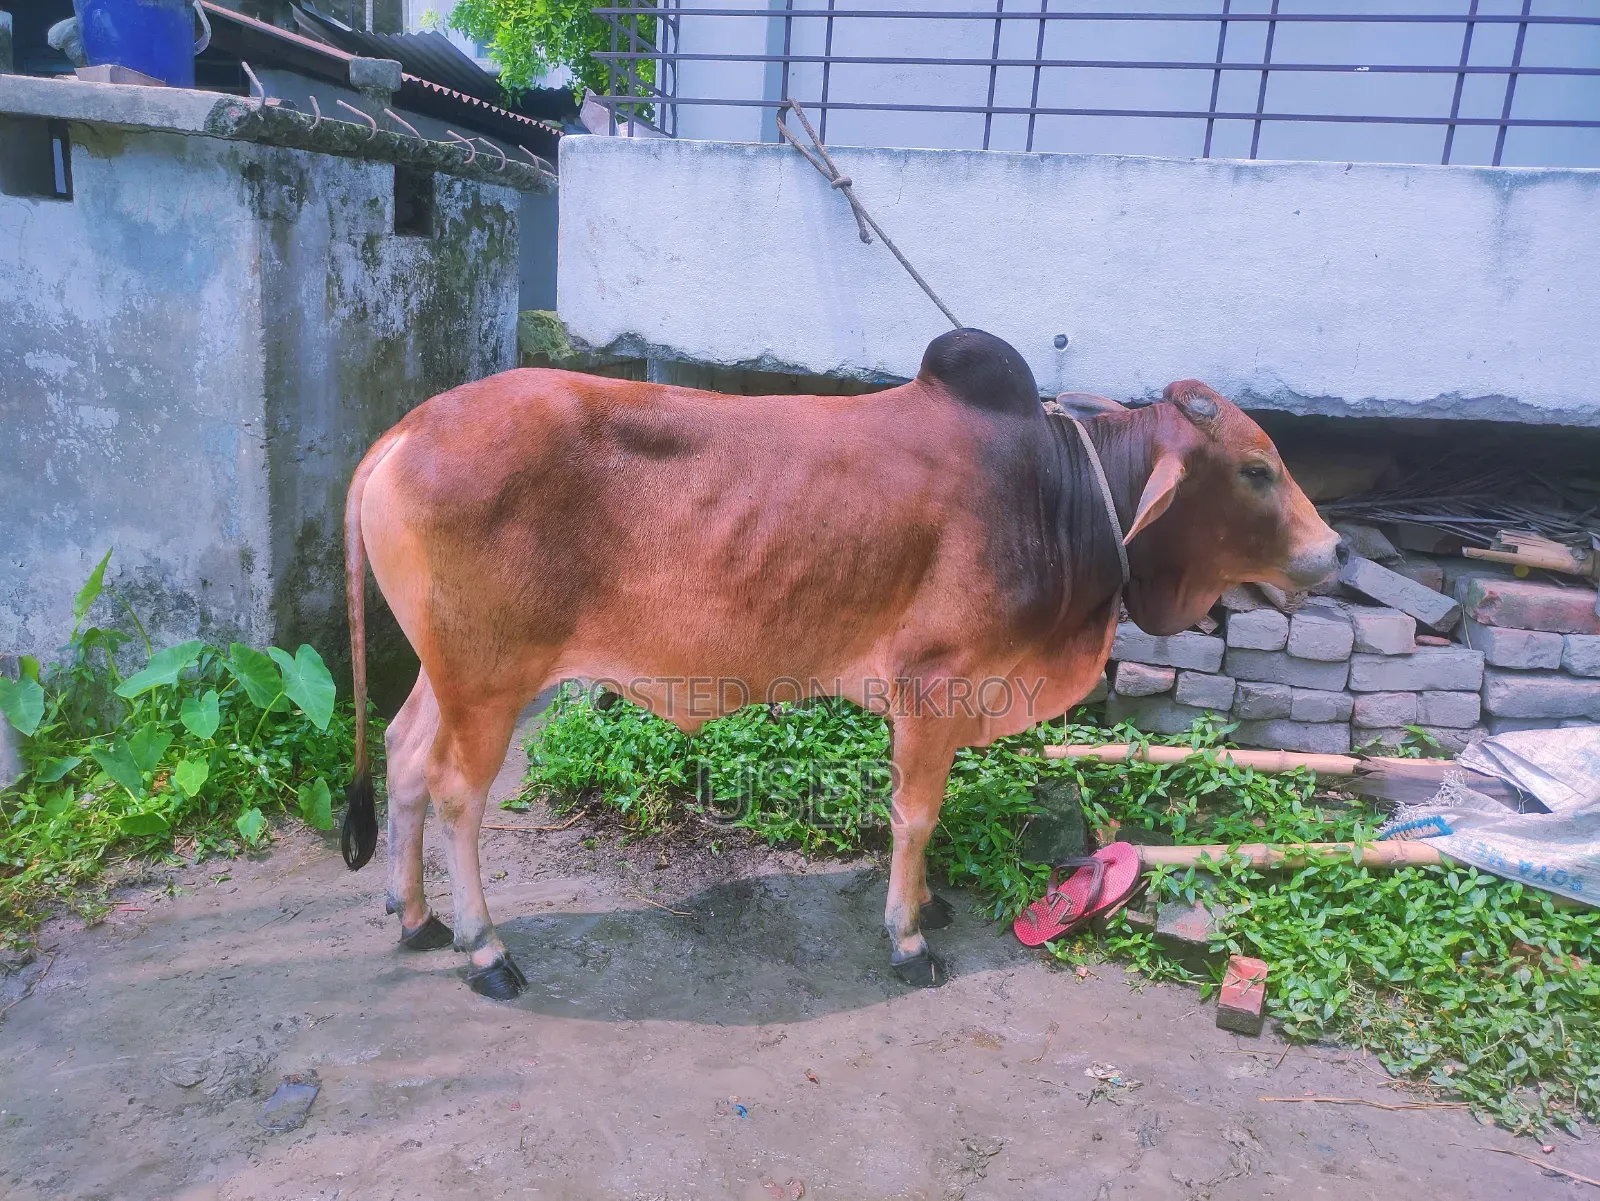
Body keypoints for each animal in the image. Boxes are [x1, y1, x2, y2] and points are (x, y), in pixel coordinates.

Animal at [340, 328, 1342, 1000]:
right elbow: (916, 814)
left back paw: (416, 916)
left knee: (403, 752)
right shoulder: (934, 684)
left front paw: (928, 906)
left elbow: (923, 815)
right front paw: (908, 939)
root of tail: (401, 432)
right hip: (493, 678)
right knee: (459, 792)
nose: (1333, 552)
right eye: (1257, 468)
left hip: (451, 670)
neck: (1059, 492)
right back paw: (484, 949)